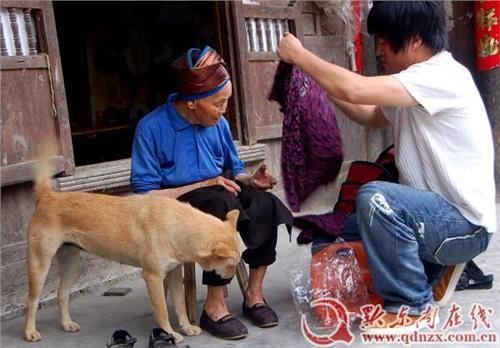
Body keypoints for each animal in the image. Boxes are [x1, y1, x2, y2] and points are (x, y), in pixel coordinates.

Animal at [24, 158, 241, 342]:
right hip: (40, 264)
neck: (176, 224)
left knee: (61, 294)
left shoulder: (173, 273)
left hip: (71, 262)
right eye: (231, 264)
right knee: (32, 300)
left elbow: (180, 305)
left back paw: (66, 323)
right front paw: (169, 334)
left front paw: (186, 327)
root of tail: (48, 197)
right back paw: (30, 332)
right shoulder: (153, 277)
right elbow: (162, 311)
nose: (228, 278)